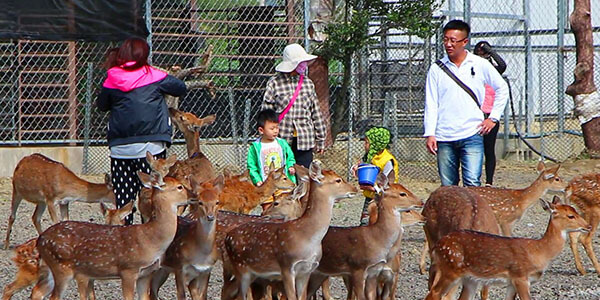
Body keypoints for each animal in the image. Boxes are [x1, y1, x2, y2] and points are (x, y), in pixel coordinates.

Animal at [34, 173, 197, 300]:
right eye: (180, 187)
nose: (194, 196)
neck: (150, 239)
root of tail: (40, 240)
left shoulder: (145, 274)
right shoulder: (128, 270)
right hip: (61, 267)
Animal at [224, 162, 356, 300]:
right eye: (338, 180)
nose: (354, 189)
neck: (307, 237)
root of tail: (228, 237)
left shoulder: (306, 271)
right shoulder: (287, 267)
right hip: (240, 268)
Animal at [422, 197, 592, 300]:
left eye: (575, 211)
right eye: (570, 216)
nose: (588, 226)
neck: (539, 251)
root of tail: (438, 246)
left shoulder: (512, 282)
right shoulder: (520, 276)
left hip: (470, 279)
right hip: (451, 268)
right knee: (434, 293)